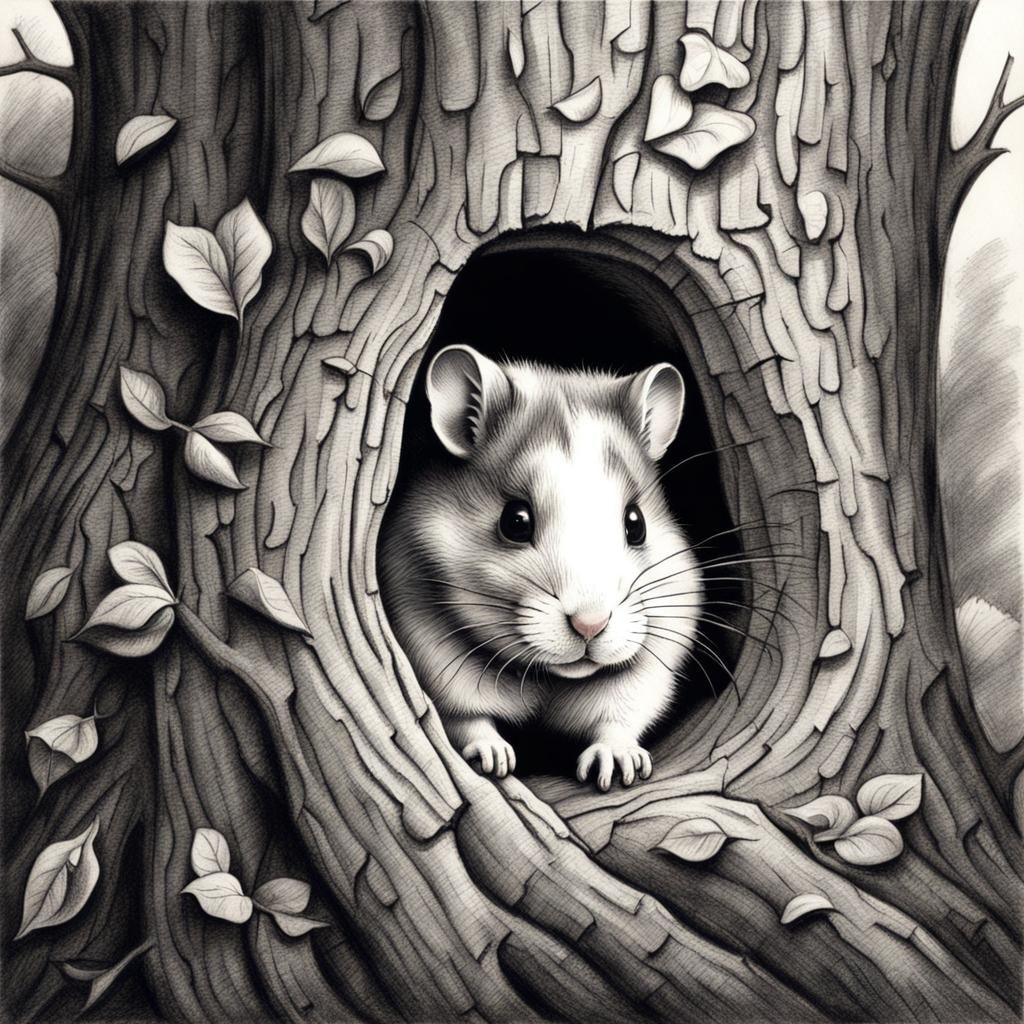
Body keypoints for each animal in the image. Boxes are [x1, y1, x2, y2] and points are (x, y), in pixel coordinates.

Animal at [380, 344, 703, 790]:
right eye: (515, 521)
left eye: (636, 524)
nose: (591, 625)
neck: (549, 676)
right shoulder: (431, 650)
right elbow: (462, 717)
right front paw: (493, 759)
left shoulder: (652, 660)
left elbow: (620, 718)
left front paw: (615, 765)